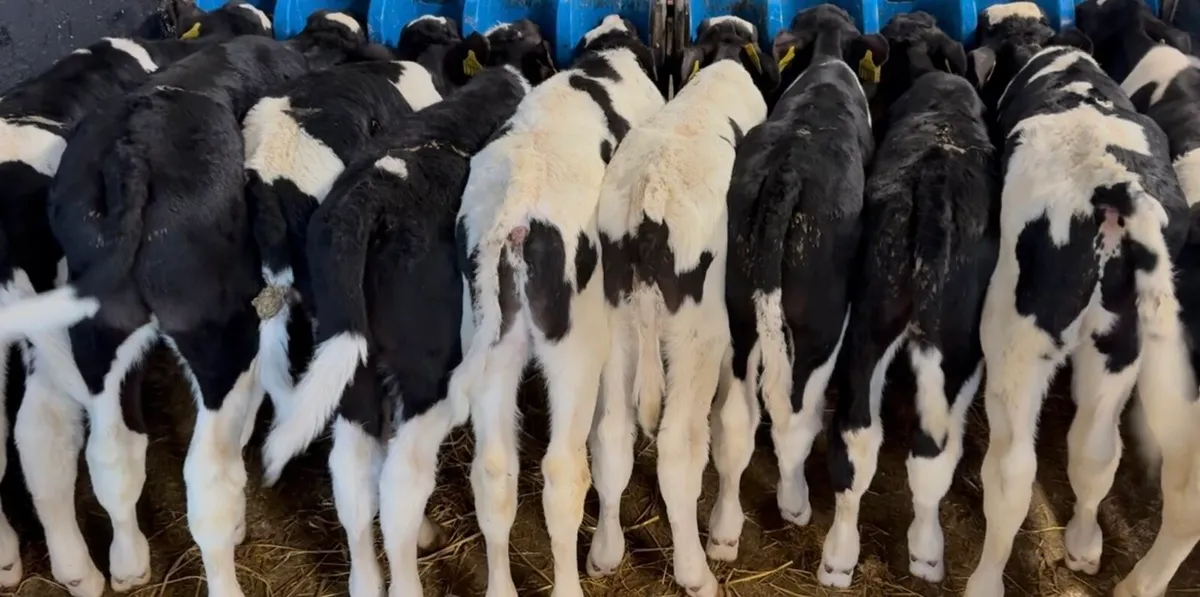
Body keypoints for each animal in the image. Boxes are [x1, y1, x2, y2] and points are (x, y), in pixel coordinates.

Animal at [960, 3, 1192, 596]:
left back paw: (985, 579)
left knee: (1012, 470)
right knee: (1095, 449)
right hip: (1118, 339)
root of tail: (1114, 188)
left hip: (1016, 333)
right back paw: (1084, 544)